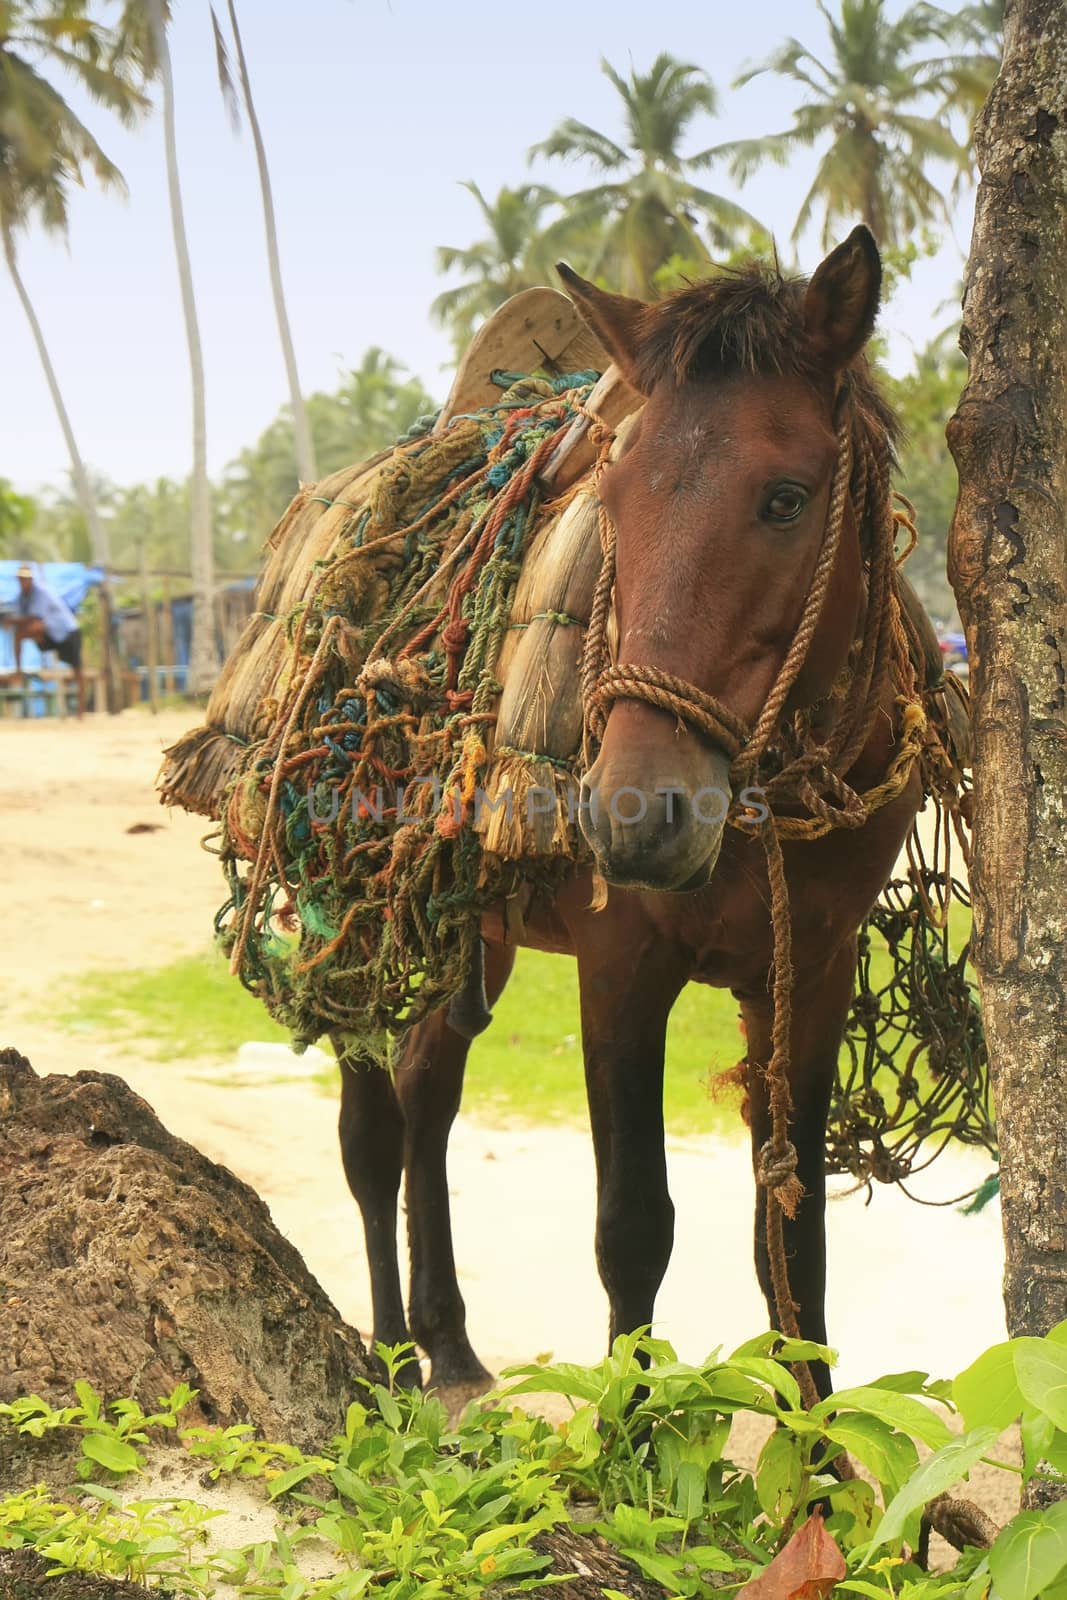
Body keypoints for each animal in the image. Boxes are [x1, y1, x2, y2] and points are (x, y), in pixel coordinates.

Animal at [334, 225, 927, 1401]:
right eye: (610, 500)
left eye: (785, 498)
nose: (633, 814)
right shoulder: (619, 966)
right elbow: (633, 1229)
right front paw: (632, 1430)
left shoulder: (812, 969)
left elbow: (791, 1238)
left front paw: (819, 1441)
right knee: (372, 1129)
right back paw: (386, 1363)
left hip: (473, 936)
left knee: (428, 1090)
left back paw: (448, 1344)